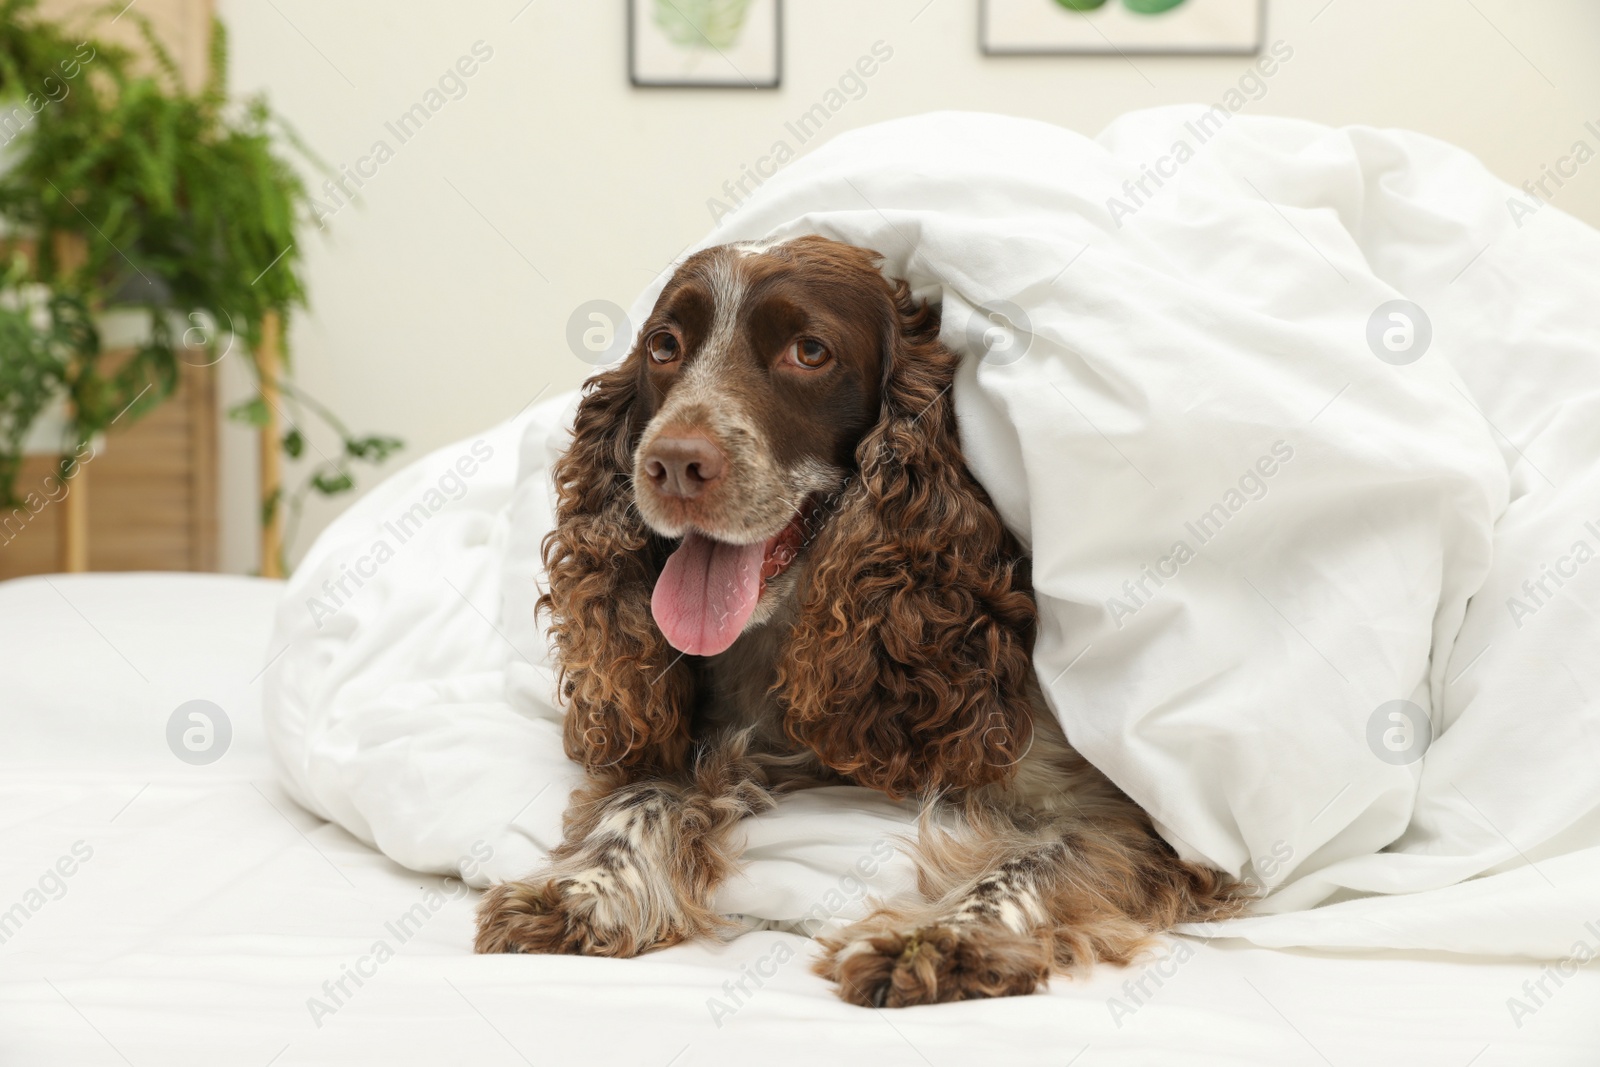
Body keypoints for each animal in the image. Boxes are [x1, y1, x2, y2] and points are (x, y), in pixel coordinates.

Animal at [467, 235, 1241, 1011]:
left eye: (810, 351)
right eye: (664, 345)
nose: (673, 463)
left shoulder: (1128, 818)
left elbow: (1032, 865)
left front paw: (944, 940)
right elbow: (640, 796)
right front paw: (584, 889)